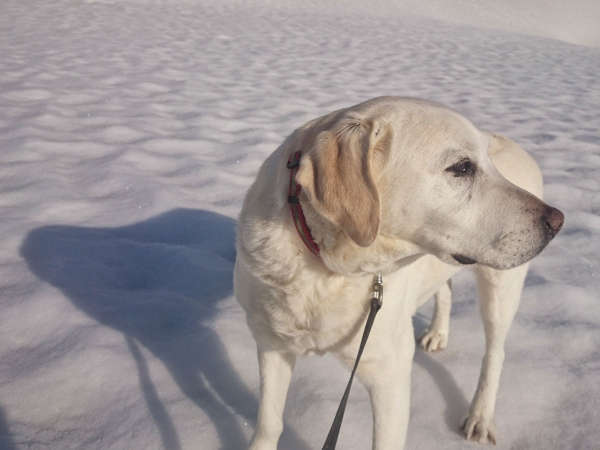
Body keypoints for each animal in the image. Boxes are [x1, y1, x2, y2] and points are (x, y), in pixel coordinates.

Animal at [233, 96, 564, 448]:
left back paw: (480, 416)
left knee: (495, 353)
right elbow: (268, 423)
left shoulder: (389, 374)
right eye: (462, 167)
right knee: (445, 290)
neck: (325, 269)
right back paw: (438, 333)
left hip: (501, 288)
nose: (556, 221)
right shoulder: (271, 343)